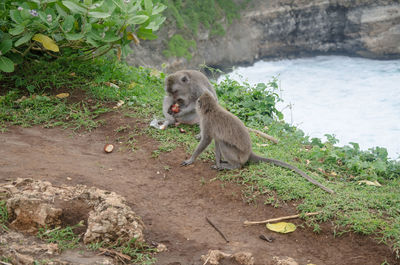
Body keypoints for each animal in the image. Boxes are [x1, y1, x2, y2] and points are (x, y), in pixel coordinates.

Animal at [181, 92, 334, 193]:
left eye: (198, 102)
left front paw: (191, 159)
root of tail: (249, 153)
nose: (195, 105)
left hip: (238, 155)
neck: (211, 109)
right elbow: (215, 140)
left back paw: (234, 166)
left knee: (225, 144)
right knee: (220, 141)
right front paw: (217, 163)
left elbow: (207, 140)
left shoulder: (206, 122)